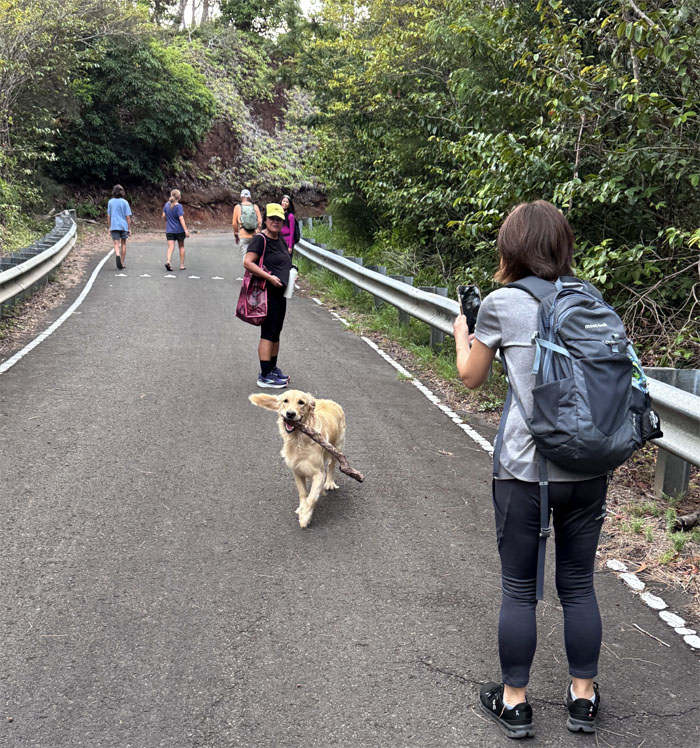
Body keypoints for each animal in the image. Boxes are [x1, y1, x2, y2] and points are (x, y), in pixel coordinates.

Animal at [249, 389, 346, 528]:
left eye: (301, 402)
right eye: (285, 401)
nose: (290, 414)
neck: (298, 440)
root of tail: (331, 401)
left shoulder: (319, 473)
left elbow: (312, 497)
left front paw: (305, 517)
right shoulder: (297, 471)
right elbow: (303, 493)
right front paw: (302, 508)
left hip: (337, 446)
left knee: (332, 464)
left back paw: (329, 483)